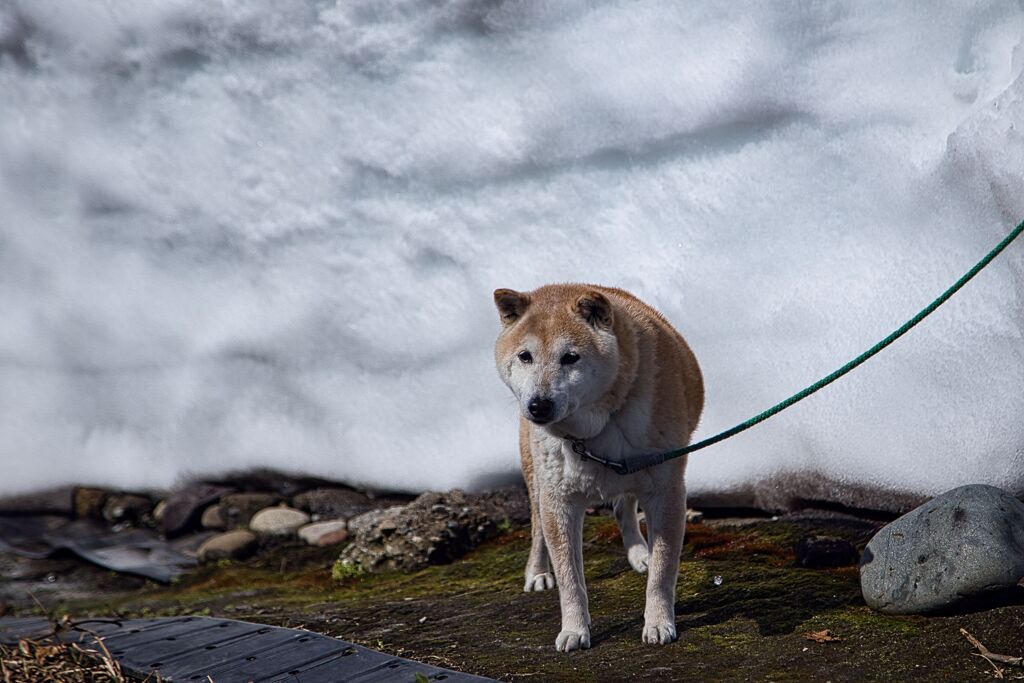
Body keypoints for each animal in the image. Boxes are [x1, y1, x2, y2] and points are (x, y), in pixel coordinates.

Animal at [489, 282, 700, 651]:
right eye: (525, 356)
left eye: (570, 357)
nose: (539, 406)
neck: (592, 430)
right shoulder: (559, 500)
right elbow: (569, 577)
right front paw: (575, 629)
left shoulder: (666, 490)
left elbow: (662, 571)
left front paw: (658, 622)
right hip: (537, 479)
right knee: (537, 528)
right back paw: (538, 572)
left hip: (632, 473)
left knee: (622, 508)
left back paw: (638, 552)